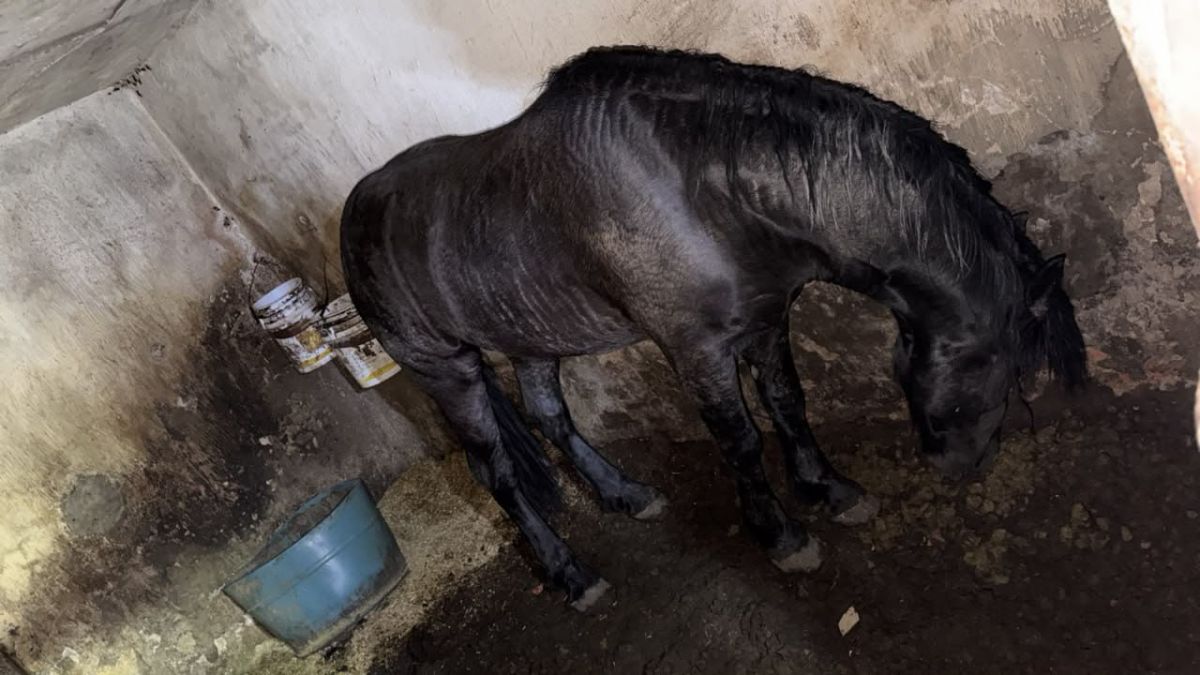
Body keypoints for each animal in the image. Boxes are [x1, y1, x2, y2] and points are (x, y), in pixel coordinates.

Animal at [340, 46, 1087, 611]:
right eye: (1005, 363)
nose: (960, 465)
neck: (706, 191)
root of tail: (351, 215)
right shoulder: (695, 349)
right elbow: (742, 439)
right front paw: (781, 535)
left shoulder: (764, 320)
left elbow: (788, 405)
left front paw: (830, 490)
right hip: (447, 370)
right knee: (495, 470)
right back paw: (571, 575)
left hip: (533, 338)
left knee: (551, 416)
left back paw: (626, 494)